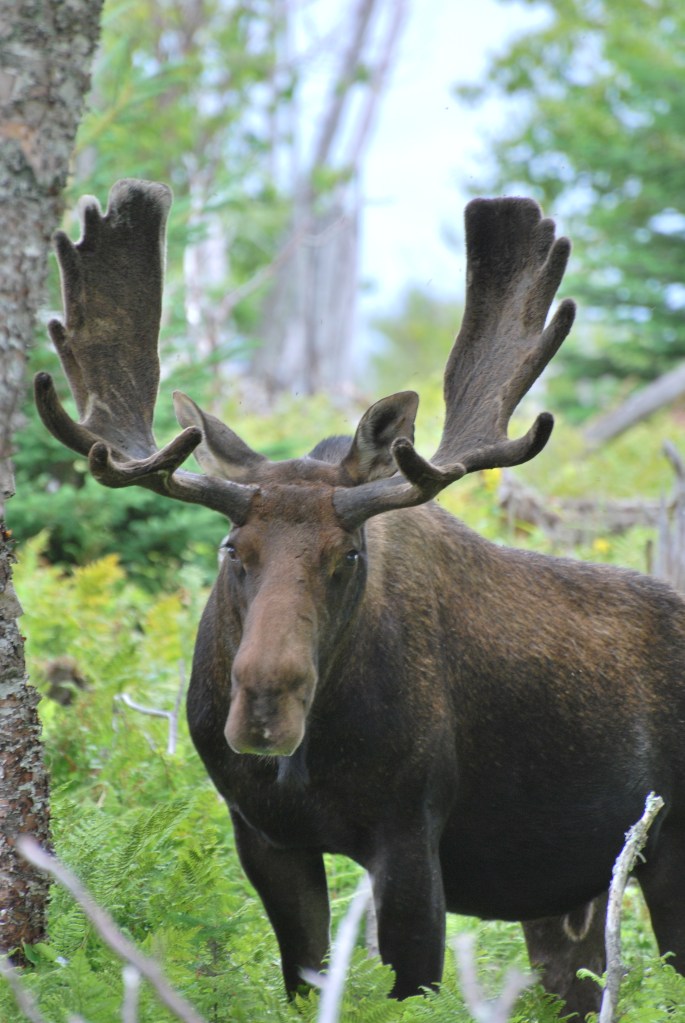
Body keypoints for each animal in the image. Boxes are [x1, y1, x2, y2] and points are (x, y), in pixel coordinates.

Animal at [35, 179, 685, 1019]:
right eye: (231, 550)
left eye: (348, 555)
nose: (265, 703)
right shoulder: (265, 836)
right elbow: (306, 982)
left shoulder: (408, 834)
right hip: (569, 896)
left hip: (669, 854)